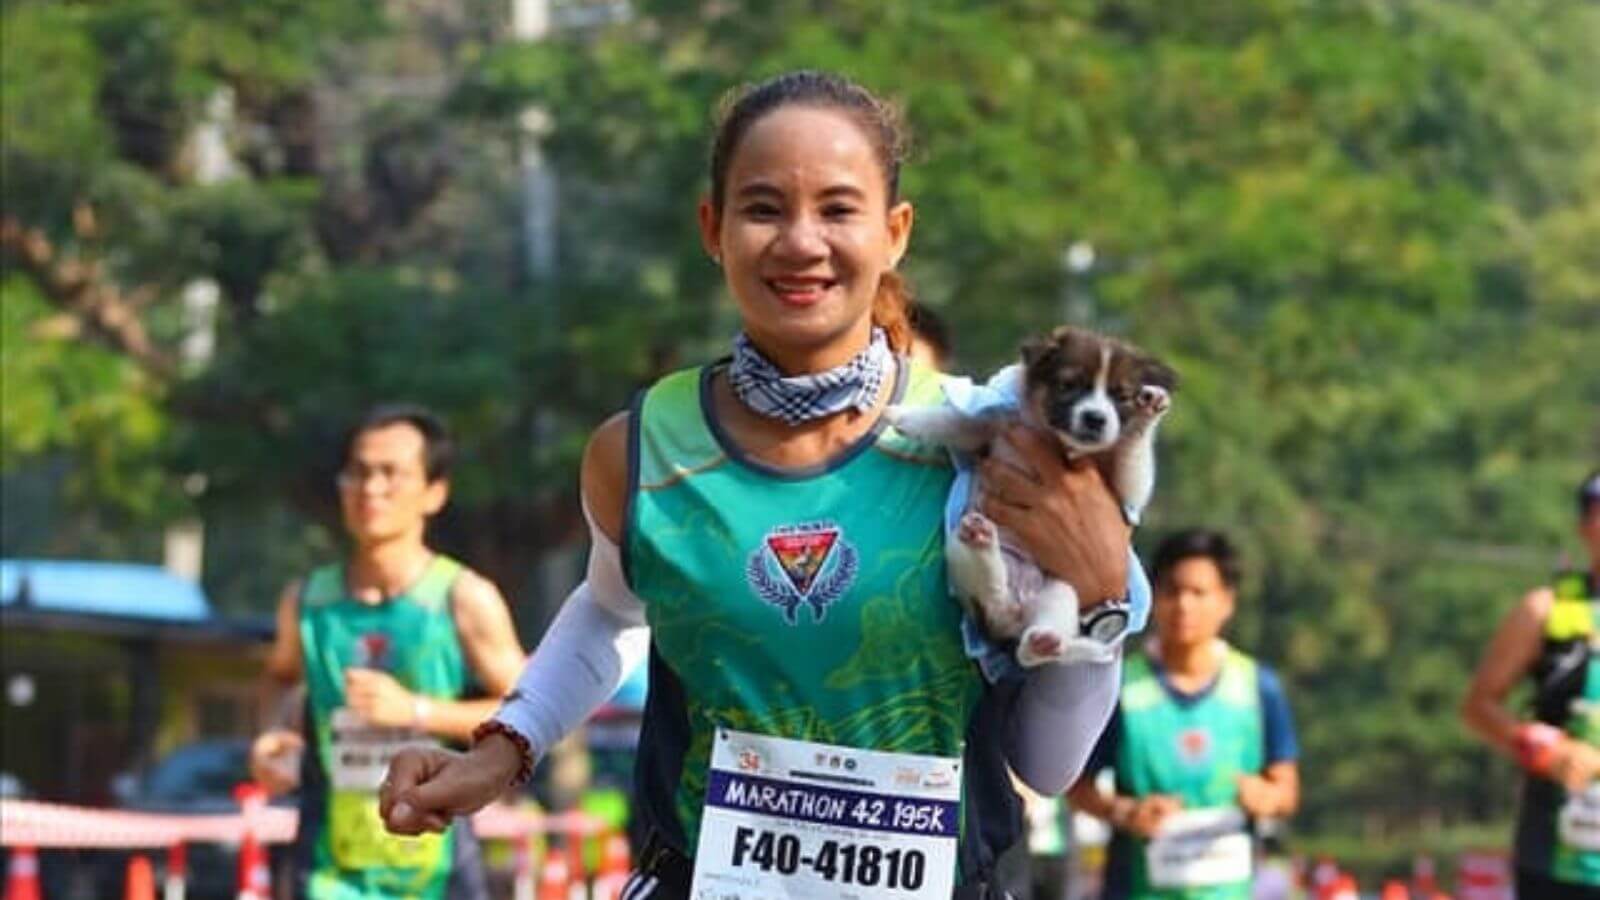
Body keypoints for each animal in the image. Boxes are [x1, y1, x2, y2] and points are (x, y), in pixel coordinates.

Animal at [889, 325, 1177, 662]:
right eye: (1068, 385)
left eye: (1121, 396)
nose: (1095, 418)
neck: (1056, 438)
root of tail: (1017, 609)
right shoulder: (990, 427)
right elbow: (950, 421)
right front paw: (900, 416)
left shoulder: (1121, 486)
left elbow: (1132, 461)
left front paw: (1149, 411)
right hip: (957, 549)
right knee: (992, 596)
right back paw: (982, 542)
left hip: (1061, 592)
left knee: (1026, 647)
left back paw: (1040, 643)